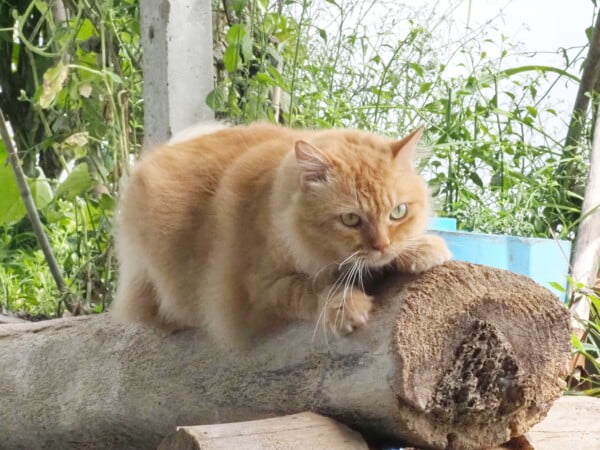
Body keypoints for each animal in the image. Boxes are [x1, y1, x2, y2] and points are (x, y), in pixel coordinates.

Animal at [110, 122, 451, 345]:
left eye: (398, 212)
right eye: (351, 219)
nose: (382, 245)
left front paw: (422, 248)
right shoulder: (260, 289)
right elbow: (312, 289)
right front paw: (344, 306)